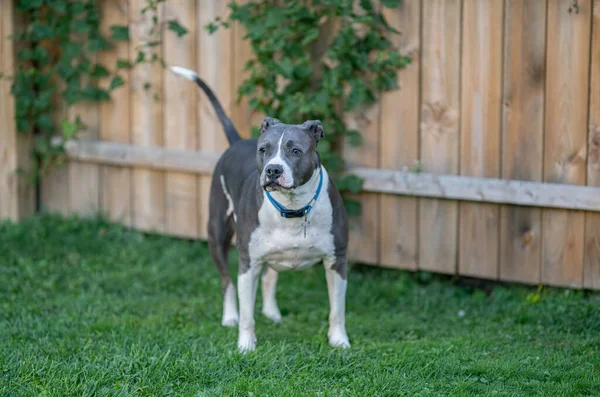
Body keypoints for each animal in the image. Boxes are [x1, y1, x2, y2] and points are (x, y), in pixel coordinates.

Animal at [170, 66, 352, 352]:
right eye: (264, 150)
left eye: (296, 150)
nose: (273, 170)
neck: (293, 207)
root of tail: (236, 142)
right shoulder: (249, 262)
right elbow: (247, 312)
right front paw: (246, 345)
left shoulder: (337, 260)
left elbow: (337, 310)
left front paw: (339, 340)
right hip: (217, 235)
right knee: (227, 281)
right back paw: (230, 316)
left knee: (269, 277)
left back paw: (272, 312)